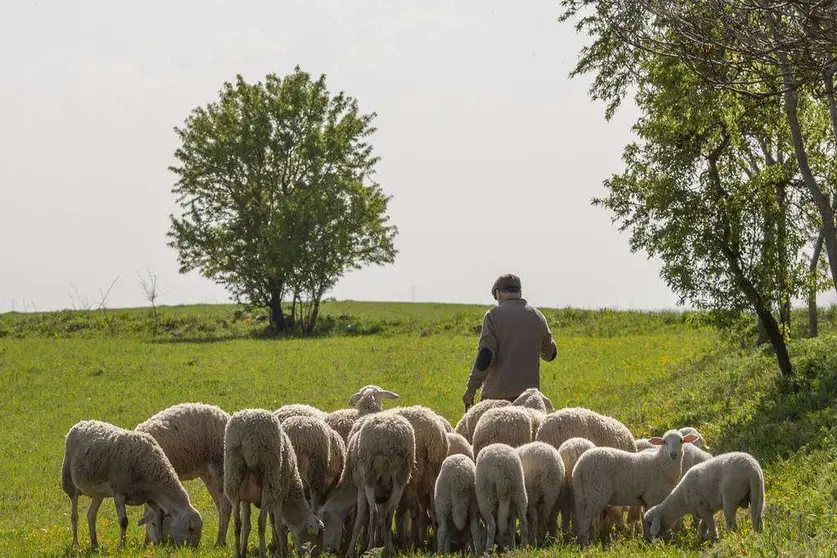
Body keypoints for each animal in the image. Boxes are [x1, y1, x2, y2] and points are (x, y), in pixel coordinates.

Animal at [60, 420, 202, 552]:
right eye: (191, 528)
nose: (192, 550)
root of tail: (82, 423)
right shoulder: (118, 492)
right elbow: (124, 521)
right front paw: (122, 546)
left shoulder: (149, 498)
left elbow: (159, 518)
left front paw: (159, 543)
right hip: (69, 482)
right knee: (74, 516)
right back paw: (76, 544)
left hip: (98, 493)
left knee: (91, 515)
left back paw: (95, 545)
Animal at [136, 402, 230, 548]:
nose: (156, 545)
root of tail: (224, 415)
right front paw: (147, 542)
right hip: (207, 474)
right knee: (220, 505)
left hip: (219, 467)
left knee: (226, 506)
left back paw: (219, 542)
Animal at [224, 412, 322, 558]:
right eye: (314, 536)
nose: (315, 554)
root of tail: (248, 432)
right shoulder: (279, 497)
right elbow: (279, 525)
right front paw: (283, 551)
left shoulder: (246, 499)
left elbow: (247, 526)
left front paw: (243, 550)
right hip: (269, 480)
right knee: (261, 522)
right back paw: (262, 553)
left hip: (233, 477)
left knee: (237, 523)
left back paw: (237, 553)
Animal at [316, 412, 414, 558]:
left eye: (325, 521)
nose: (326, 551)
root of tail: (390, 436)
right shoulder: (383, 495)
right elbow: (382, 518)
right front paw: (384, 545)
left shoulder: (360, 487)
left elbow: (361, 518)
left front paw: (352, 550)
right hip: (401, 477)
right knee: (388, 515)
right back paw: (390, 550)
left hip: (369, 477)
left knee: (374, 513)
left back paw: (369, 549)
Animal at [568, 434, 700, 548]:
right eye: (664, 442)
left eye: (681, 440)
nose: (673, 454)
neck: (660, 465)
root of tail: (579, 467)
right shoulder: (652, 497)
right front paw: (653, 540)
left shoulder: (645, 500)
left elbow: (644, 517)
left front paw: (647, 538)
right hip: (595, 493)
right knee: (585, 520)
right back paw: (586, 545)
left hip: (581, 494)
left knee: (581, 518)